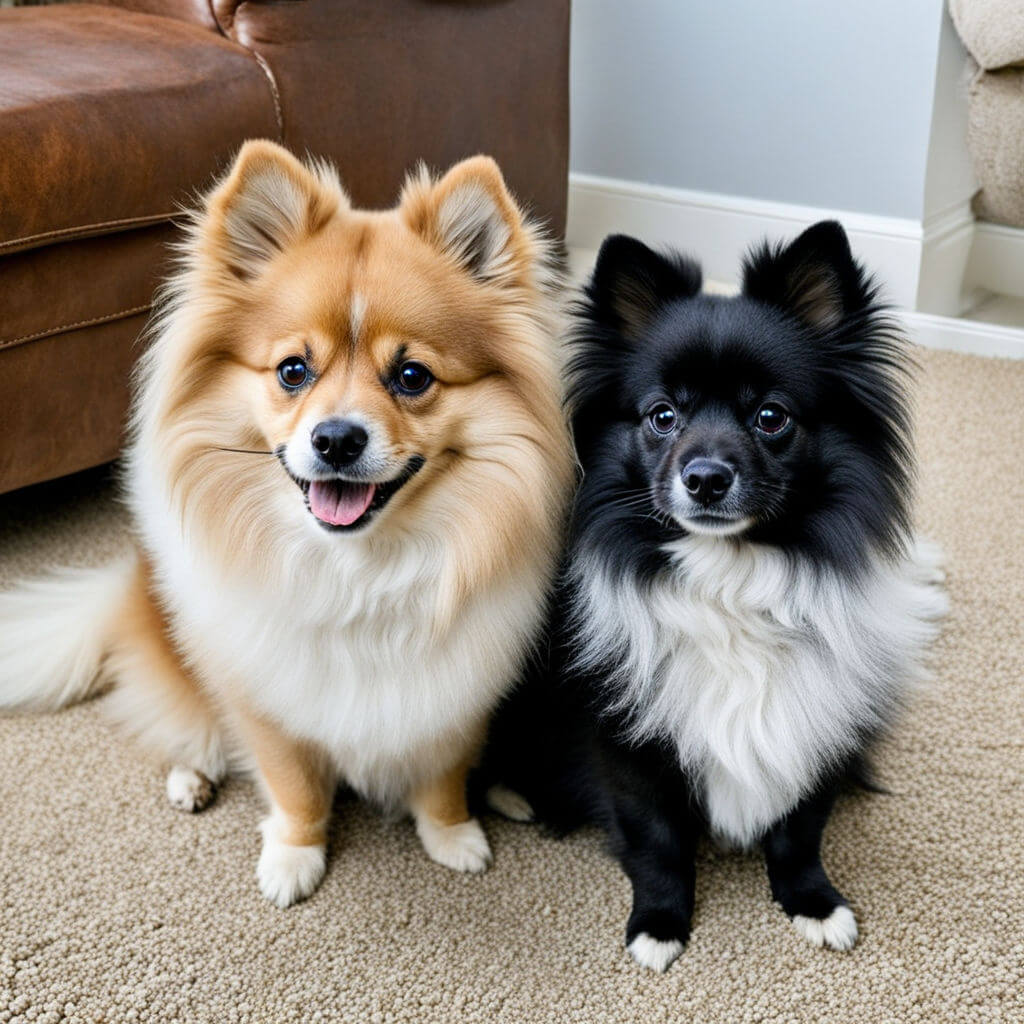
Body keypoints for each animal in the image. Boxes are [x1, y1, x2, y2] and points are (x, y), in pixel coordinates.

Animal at [0, 140, 577, 909]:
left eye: (413, 377)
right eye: (293, 370)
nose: (336, 439)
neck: (361, 568)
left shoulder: (454, 696)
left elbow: (443, 772)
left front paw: (452, 834)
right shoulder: (267, 699)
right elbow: (295, 784)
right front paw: (294, 856)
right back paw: (192, 777)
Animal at [483, 222, 946, 966]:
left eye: (771, 417)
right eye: (661, 416)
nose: (704, 477)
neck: (730, 582)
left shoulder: (816, 720)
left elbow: (799, 832)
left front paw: (815, 904)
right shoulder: (629, 743)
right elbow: (658, 841)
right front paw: (659, 924)